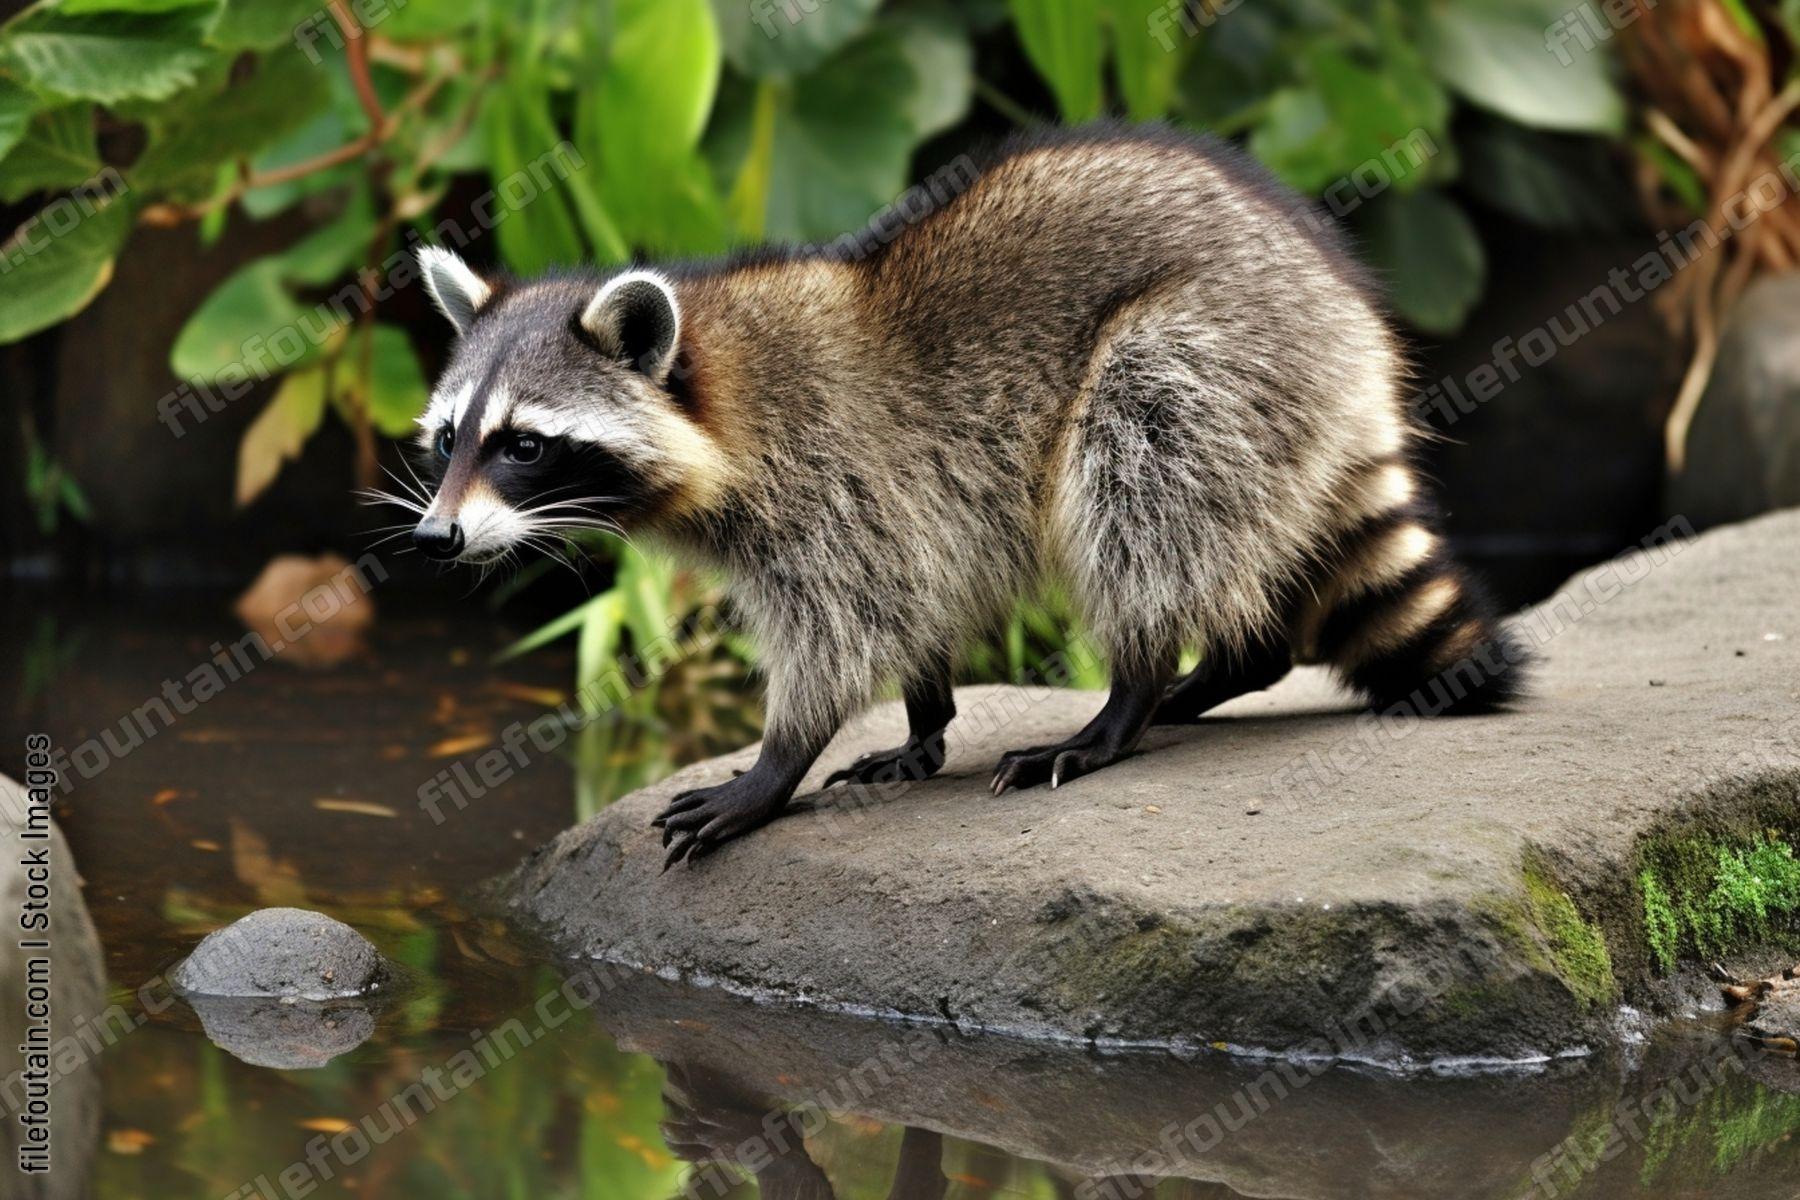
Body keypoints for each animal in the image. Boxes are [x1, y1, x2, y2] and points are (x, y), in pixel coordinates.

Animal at [404, 123, 1526, 867]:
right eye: (452, 439)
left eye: (526, 447)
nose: (436, 537)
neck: (715, 382)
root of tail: (1348, 320)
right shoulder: (901, 505)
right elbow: (916, 601)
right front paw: (923, 719)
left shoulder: (830, 476)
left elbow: (847, 625)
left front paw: (773, 768)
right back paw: (1212, 673)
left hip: (1213, 347)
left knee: (1143, 476)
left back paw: (1130, 696)